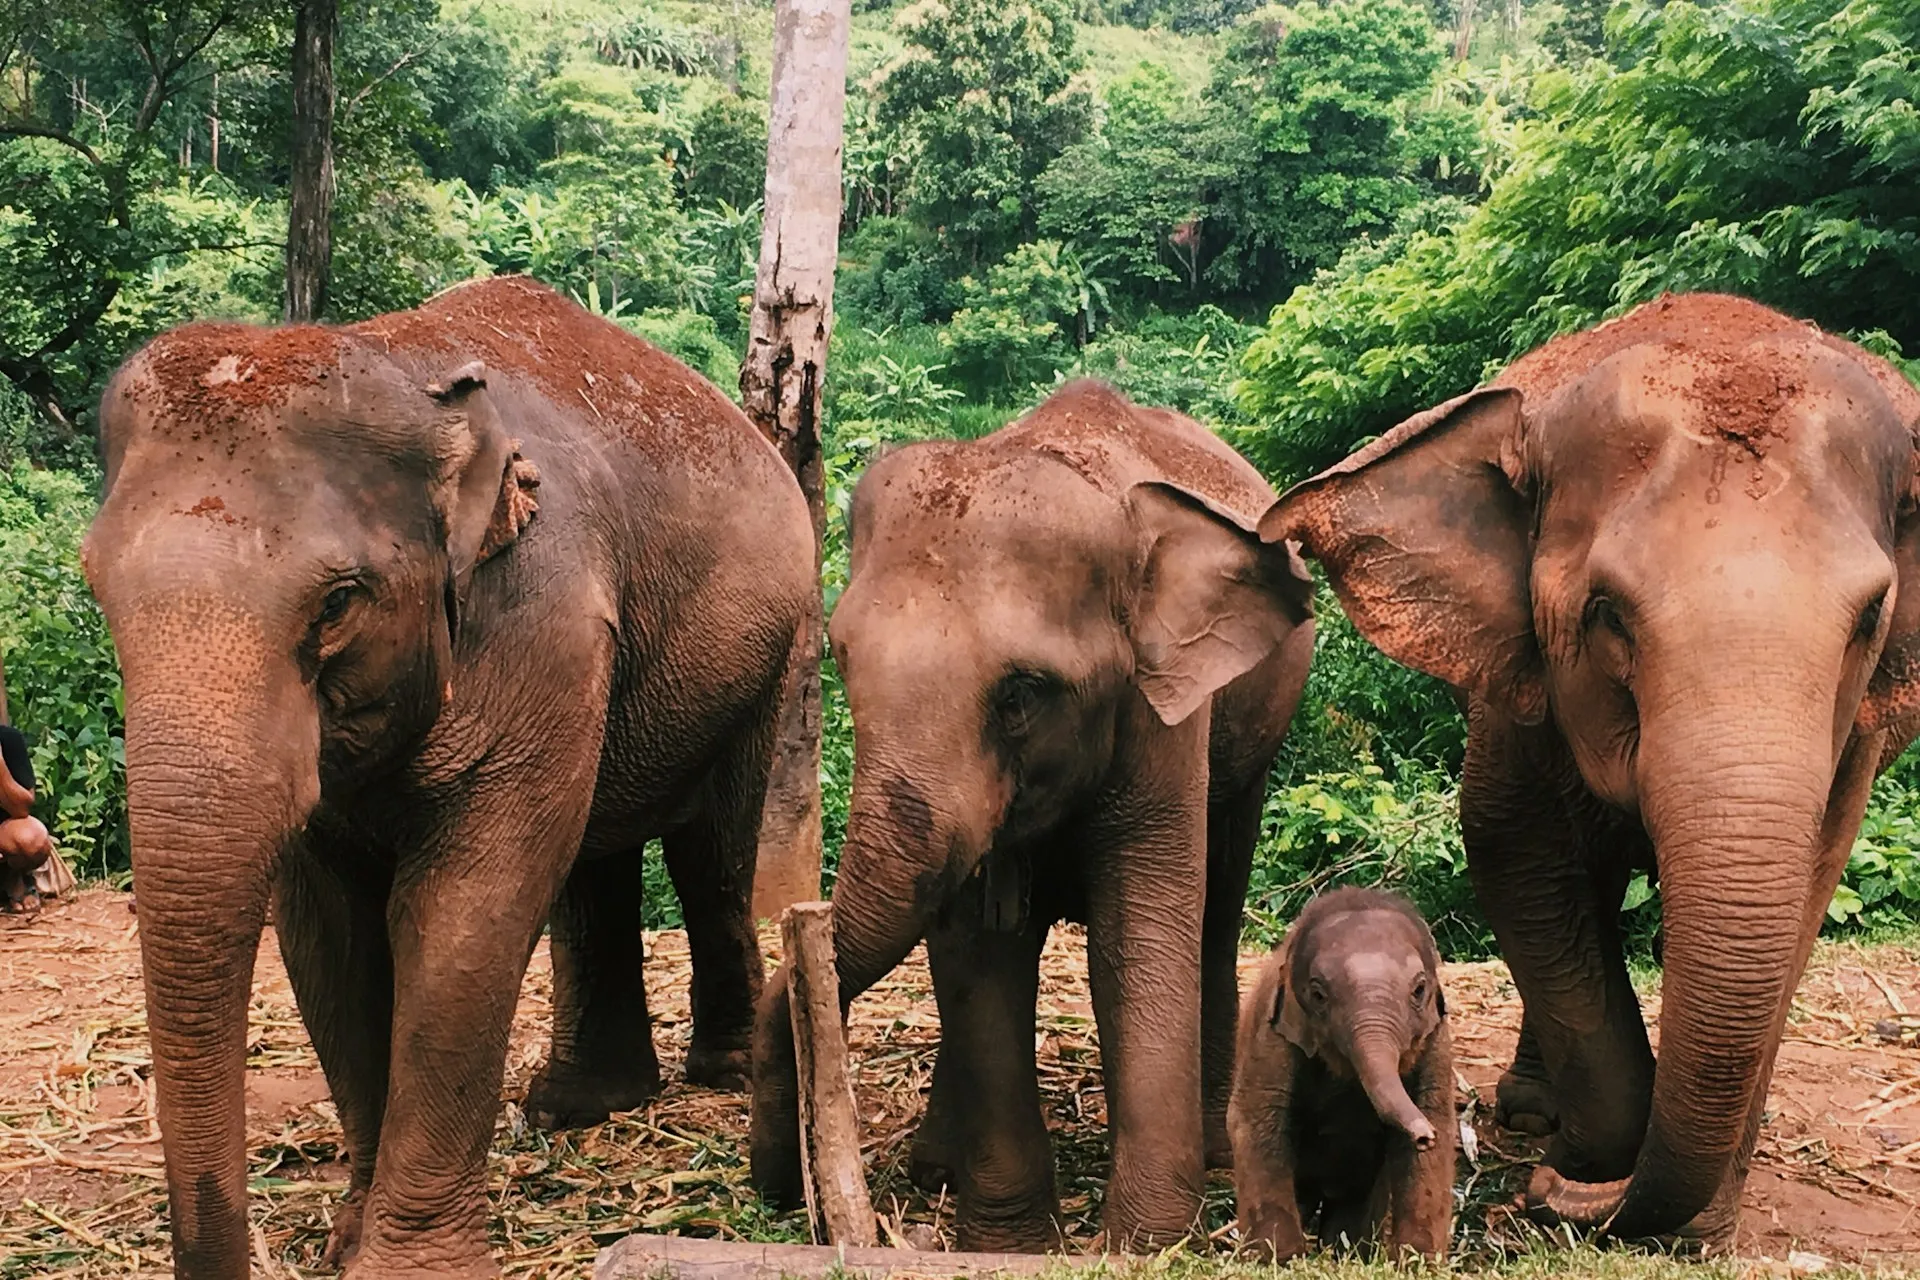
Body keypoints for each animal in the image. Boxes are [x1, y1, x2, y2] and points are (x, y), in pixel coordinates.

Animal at [81, 277, 814, 1280]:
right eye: (96, 588)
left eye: (338, 603)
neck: (406, 375)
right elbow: (329, 933)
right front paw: (349, 1241)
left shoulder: (543, 615)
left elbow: (464, 909)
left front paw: (403, 1265)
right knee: (592, 861)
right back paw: (577, 1106)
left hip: (769, 652)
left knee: (710, 850)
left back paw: (722, 1074)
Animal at [749, 381, 1317, 1251]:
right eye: (842, 659)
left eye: (1020, 694)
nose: (778, 1191)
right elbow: (977, 950)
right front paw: (1012, 1246)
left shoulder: (1163, 714)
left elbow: (1138, 936)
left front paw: (1143, 1246)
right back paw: (934, 1170)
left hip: (1255, 738)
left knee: (1218, 910)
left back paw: (1218, 1150)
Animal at [1228, 886, 1454, 1262]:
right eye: (1318, 994)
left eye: (1419, 990)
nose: (1423, 1135)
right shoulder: (1270, 1036)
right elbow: (1258, 1122)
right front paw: (1279, 1259)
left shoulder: (1437, 1041)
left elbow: (1437, 1122)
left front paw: (1416, 1261)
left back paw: (1347, 1253)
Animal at [1258, 292, 1920, 1246]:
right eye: (1606, 612)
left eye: (1870, 618)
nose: (1541, 1191)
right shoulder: (1517, 689)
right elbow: (1514, 855)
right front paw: (1587, 1162)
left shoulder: (1853, 745)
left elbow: (1810, 886)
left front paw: (1695, 1226)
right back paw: (1533, 1112)